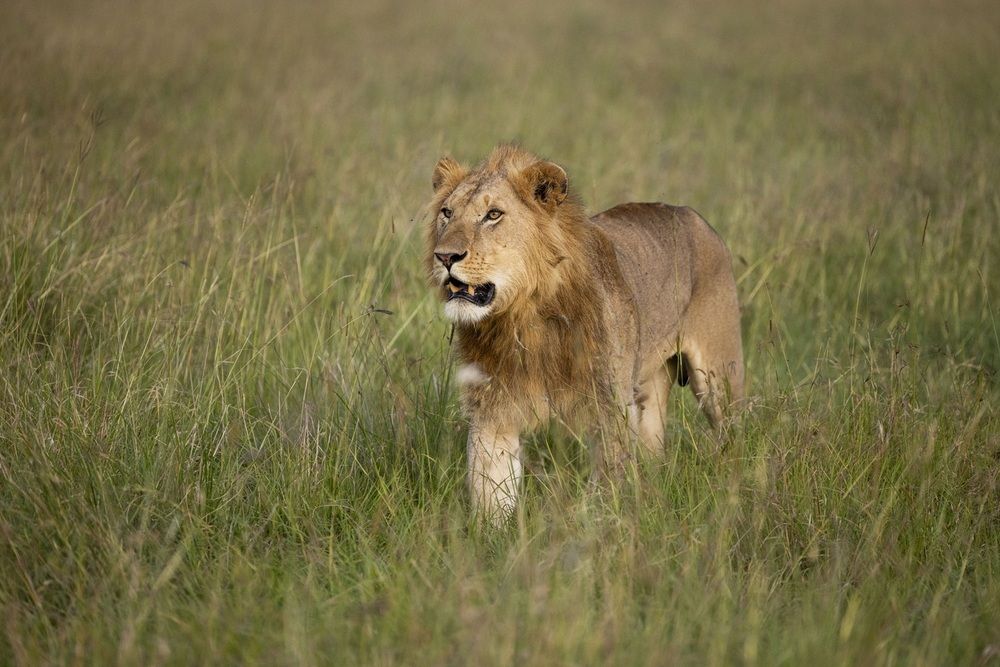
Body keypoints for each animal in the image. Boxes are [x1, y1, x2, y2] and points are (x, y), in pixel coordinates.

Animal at [427, 145, 744, 523]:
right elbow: (490, 487)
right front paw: (492, 534)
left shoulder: (611, 405)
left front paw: (596, 526)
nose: (445, 256)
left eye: (493, 215)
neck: (524, 314)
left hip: (718, 379)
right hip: (650, 391)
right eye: (447, 213)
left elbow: (607, 484)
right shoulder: (492, 409)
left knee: (733, 431)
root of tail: (692, 215)